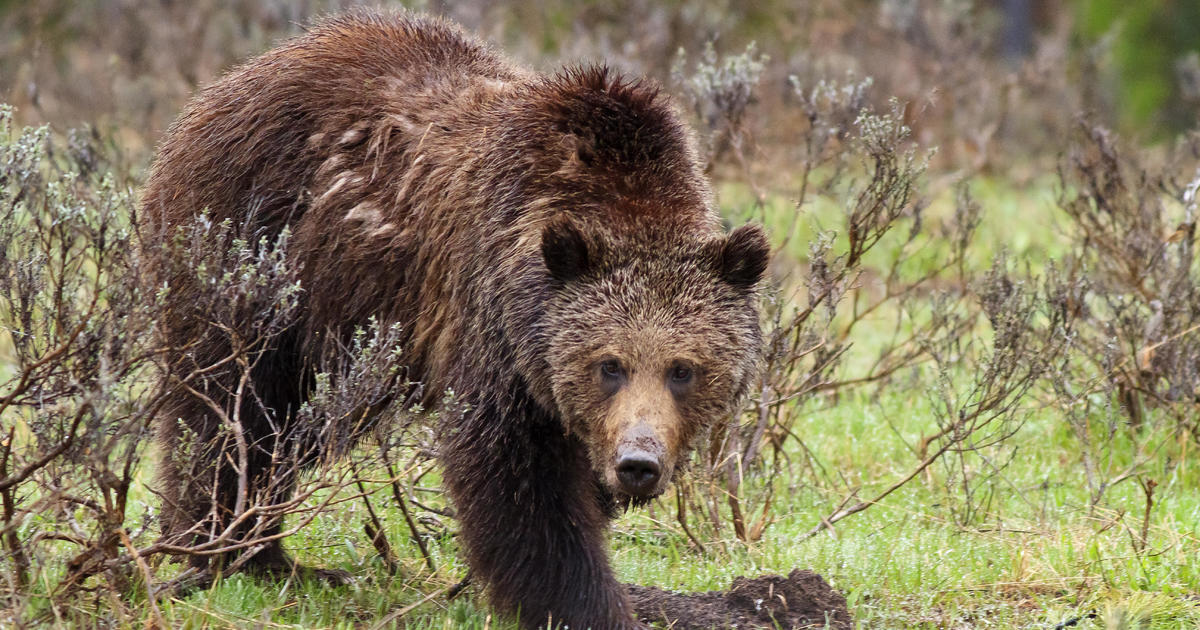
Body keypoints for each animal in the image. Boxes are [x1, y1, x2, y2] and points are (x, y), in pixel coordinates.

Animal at [142, 9, 768, 628]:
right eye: (609, 365)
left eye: (683, 369)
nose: (639, 462)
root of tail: (221, 88)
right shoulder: (495, 324)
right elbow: (517, 483)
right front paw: (588, 604)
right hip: (258, 257)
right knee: (231, 410)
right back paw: (238, 550)